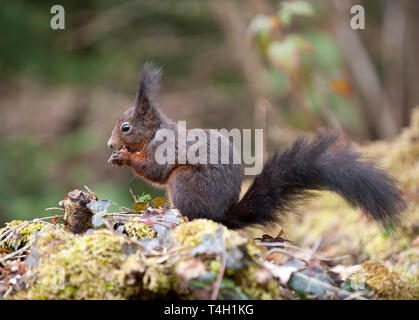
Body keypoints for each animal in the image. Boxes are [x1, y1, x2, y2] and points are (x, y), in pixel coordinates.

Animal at [107, 63, 406, 230]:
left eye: (126, 127)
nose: (110, 145)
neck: (154, 132)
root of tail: (223, 215)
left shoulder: (164, 147)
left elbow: (154, 170)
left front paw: (124, 157)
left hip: (183, 183)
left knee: (196, 214)